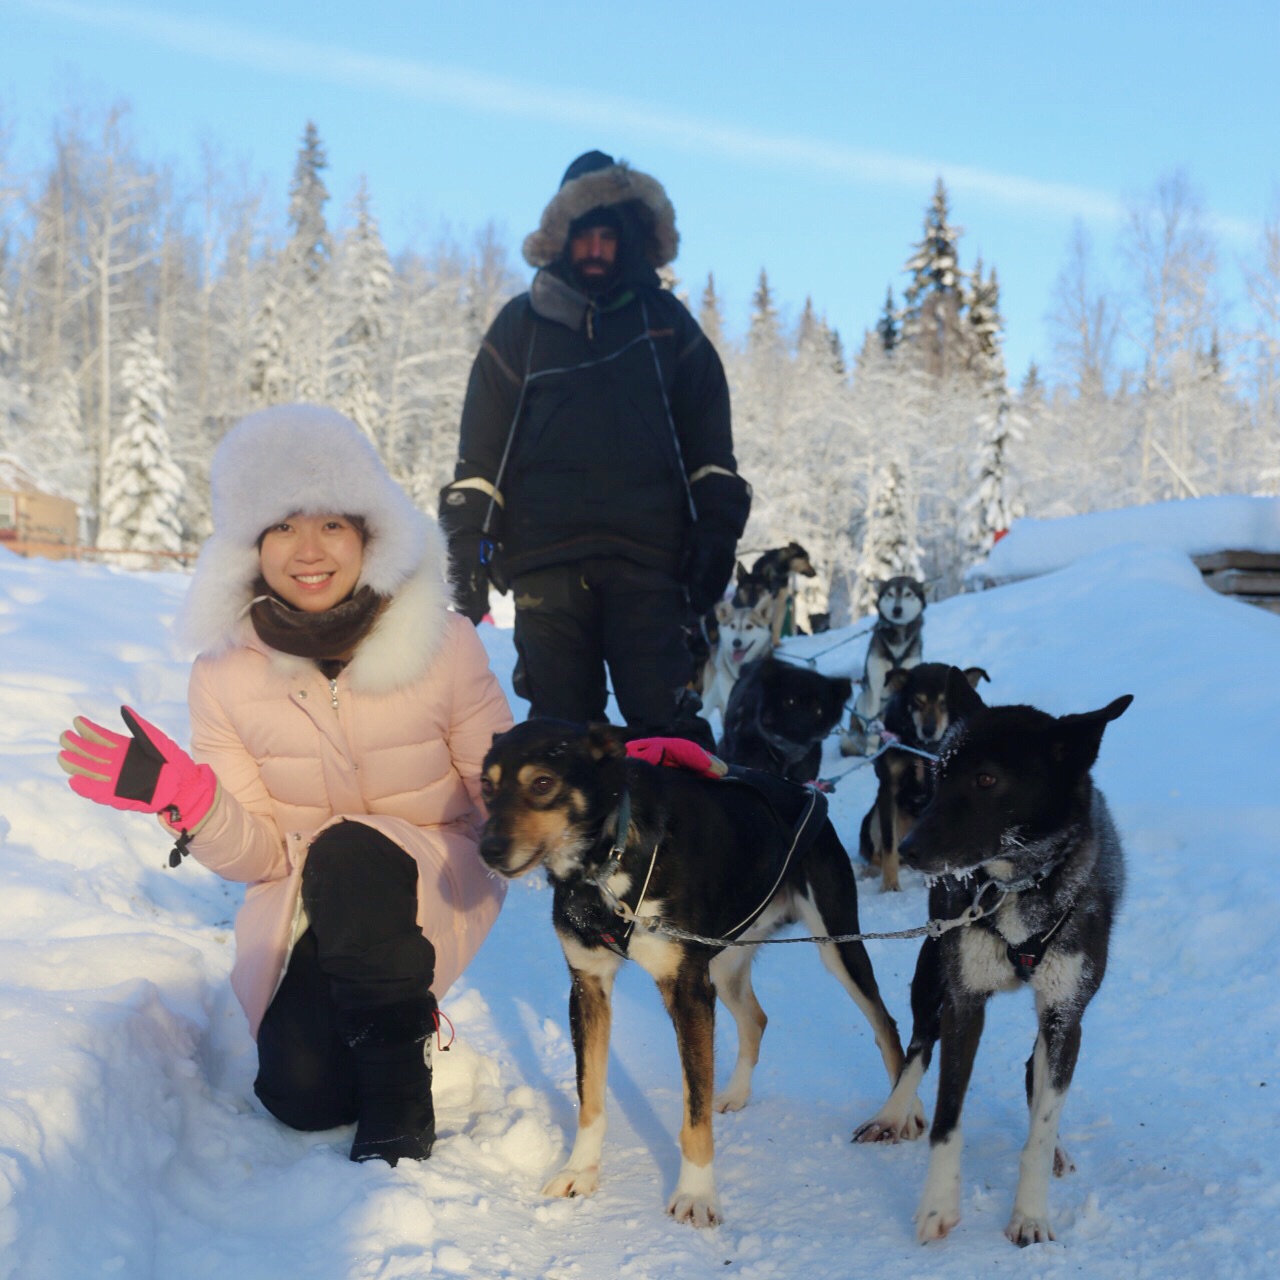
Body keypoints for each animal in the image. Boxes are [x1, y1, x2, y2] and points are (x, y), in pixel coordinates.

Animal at [481, 721, 921, 1228]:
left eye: (542, 783)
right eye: (486, 786)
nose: (487, 849)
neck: (612, 863)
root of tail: (806, 790)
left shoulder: (686, 992)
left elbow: (693, 1117)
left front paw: (695, 1194)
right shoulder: (588, 987)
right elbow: (589, 1097)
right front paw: (581, 1170)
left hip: (837, 947)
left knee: (886, 1025)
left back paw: (903, 1112)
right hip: (724, 964)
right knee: (756, 1019)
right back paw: (735, 1092)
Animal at [855, 696, 1136, 1244]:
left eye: (986, 779)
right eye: (939, 775)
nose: (908, 849)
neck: (1019, 887)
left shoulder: (1065, 1013)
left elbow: (1042, 1125)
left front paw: (1030, 1214)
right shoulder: (964, 1003)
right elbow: (947, 1116)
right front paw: (938, 1206)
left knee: (1035, 1072)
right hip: (932, 972)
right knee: (918, 1046)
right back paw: (891, 1114)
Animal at [860, 665, 988, 896]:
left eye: (944, 702)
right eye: (917, 701)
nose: (929, 730)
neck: (920, 749)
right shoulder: (888, 789)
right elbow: (888, 843)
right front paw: (889, 885)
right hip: (874, 816)